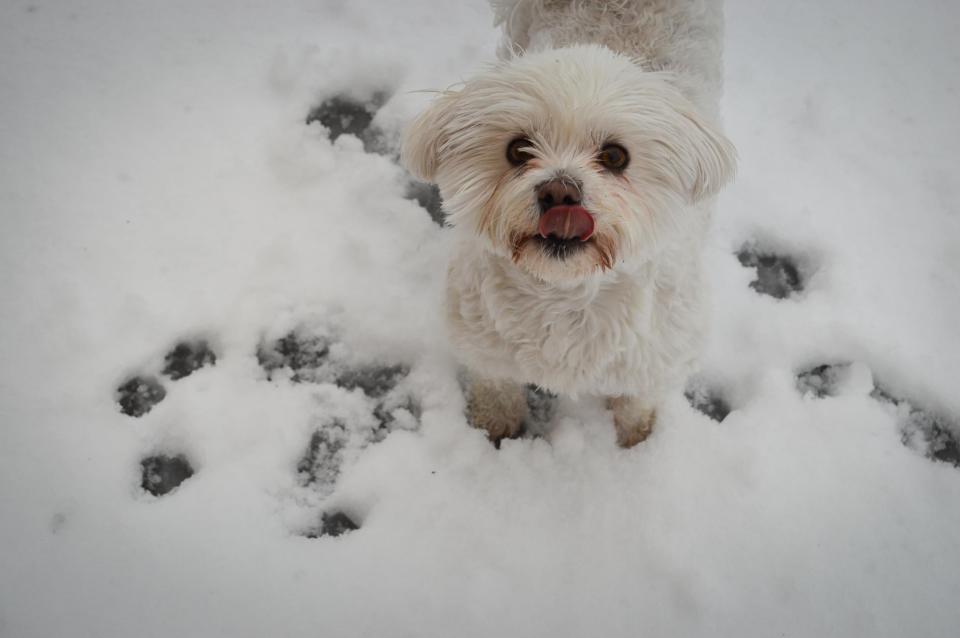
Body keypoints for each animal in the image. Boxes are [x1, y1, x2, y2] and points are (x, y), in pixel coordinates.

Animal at [400, 1, 736, 450]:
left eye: (615, 156)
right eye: (518, 149)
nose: (560, 192)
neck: (565, 293)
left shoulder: (659, 352)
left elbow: (637, 404)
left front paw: (636, 443)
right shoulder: (484, 340)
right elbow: (496, 388)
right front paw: (494, 426)